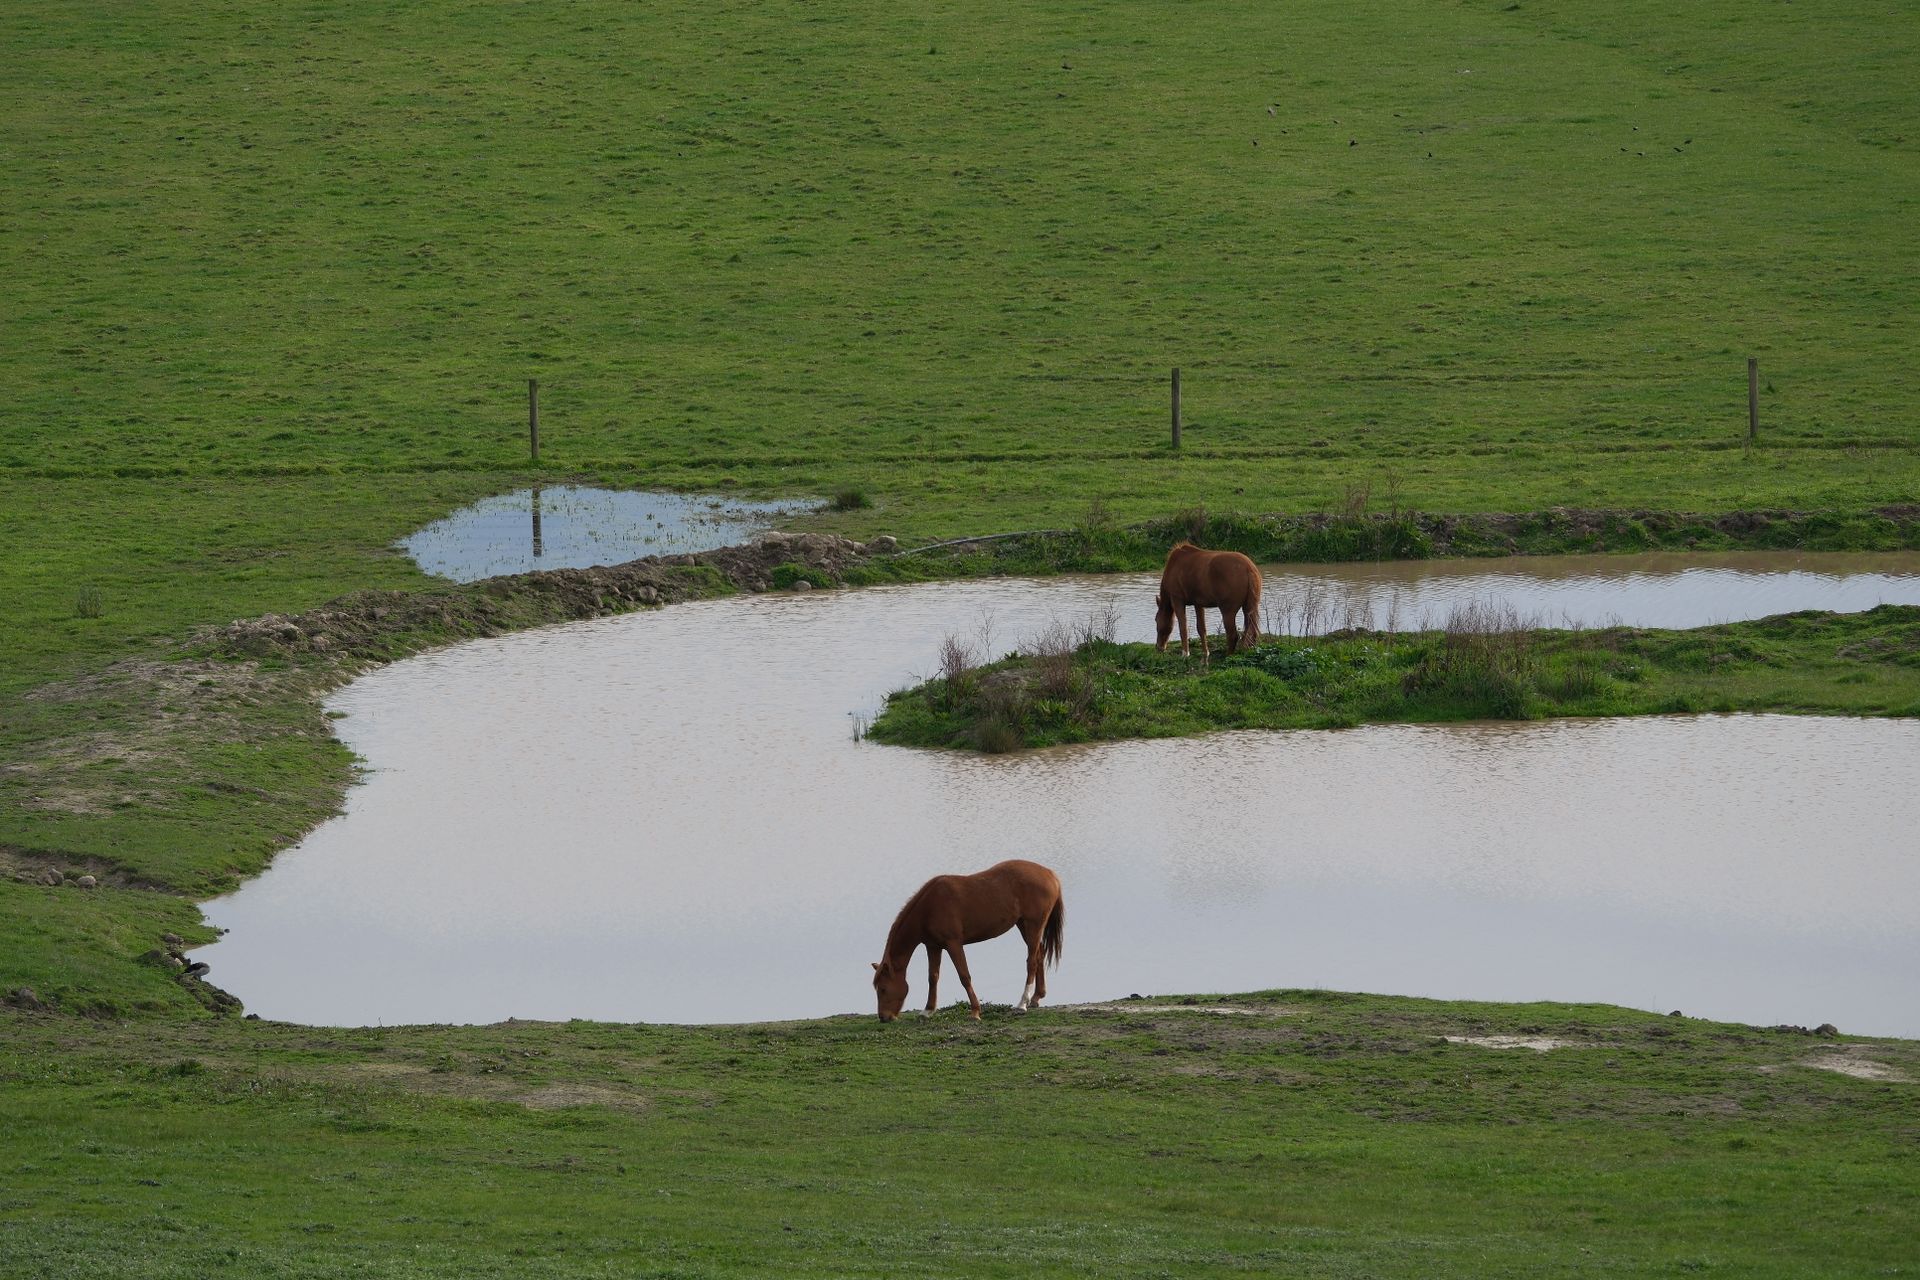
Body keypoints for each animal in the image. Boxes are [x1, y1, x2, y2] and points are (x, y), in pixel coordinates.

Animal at [871, 859, 1064, 1022]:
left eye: (883, 989)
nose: (883, 1017)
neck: (929, 907)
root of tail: (1050, 874)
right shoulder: (933, 946)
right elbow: (933, 977)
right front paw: (928, 1011)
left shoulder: (953, 944)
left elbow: (964, 976)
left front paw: (975, 1012)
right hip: (1023, 925)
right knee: (1039, 954)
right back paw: (1036, 997)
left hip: (1033, 925)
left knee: (1031, 961)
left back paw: (1022, 1003)